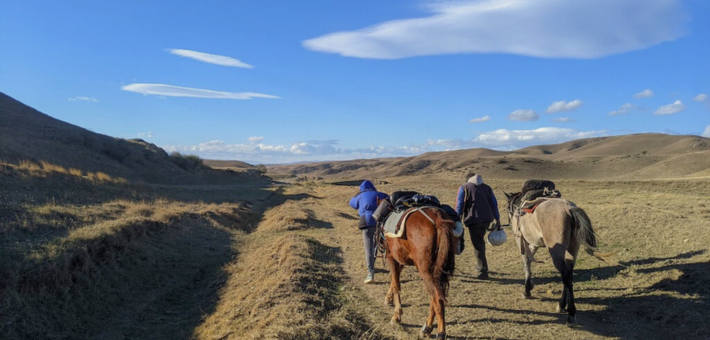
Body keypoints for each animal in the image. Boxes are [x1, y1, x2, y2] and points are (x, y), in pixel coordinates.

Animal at [384, 207, 456, 340]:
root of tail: (437, 220)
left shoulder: (391, 256)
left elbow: (396, 284)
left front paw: (397, 316)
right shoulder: (401, 259)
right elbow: (394, 280)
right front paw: (388, 298)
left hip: (425, 271)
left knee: (436, 297)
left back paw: (439, 331)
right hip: (437, 271)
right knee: (436, 295)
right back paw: (427, 328)